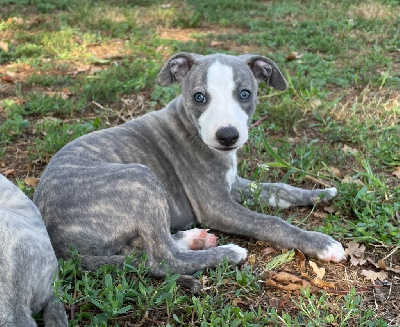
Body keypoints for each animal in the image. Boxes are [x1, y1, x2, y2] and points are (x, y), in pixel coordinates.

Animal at [33, 53, 346, 276]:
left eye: (245, 94)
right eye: (199, 97)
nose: (227, 135)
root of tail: (58, 244)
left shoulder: (234, 184)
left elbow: (279, 188)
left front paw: (321, 194)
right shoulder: (216, 206)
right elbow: (270, 222)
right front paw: (321, 243)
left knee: (141, 249)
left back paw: (193, 239)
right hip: (140, 179)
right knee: (162, 259)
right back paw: (226, 253)